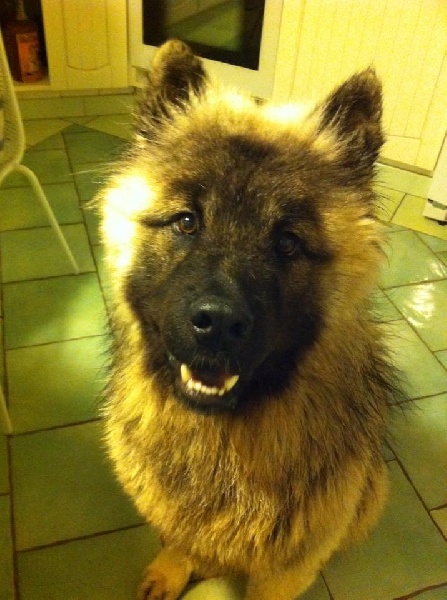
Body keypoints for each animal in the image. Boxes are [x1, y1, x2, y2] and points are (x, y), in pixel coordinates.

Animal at [98, 40, 402, 600]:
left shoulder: (288, 564)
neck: (223, 445)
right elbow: (181, 538)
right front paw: (174, 567)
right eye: (186, 222)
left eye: (287, 242)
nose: (217, 323)